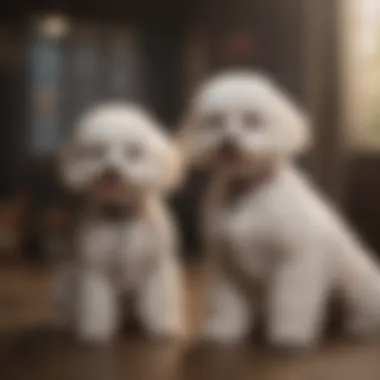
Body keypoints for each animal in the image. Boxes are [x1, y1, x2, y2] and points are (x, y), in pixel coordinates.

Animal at [53, 104, 184, 344]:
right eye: (97, 151)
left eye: (133, 152)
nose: (111, 171)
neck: (123, 217)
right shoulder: (95, 271)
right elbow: (97, 304)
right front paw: (95, 332)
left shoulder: (156, 268)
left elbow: (159, 300)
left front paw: (162, 328)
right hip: (65, 282)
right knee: (65, 308)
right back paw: (66, 322)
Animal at [179, 70, 380, 348]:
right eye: (216, 121)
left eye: (253, 120)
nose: (228, 143)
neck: (249, 191)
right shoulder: (227, 263)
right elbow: (224, 302)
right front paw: (224, 329)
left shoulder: (295, 259)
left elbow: (292, 299)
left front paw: (290, 333)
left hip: (357, 287)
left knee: (363, 312)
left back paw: (358, 325)